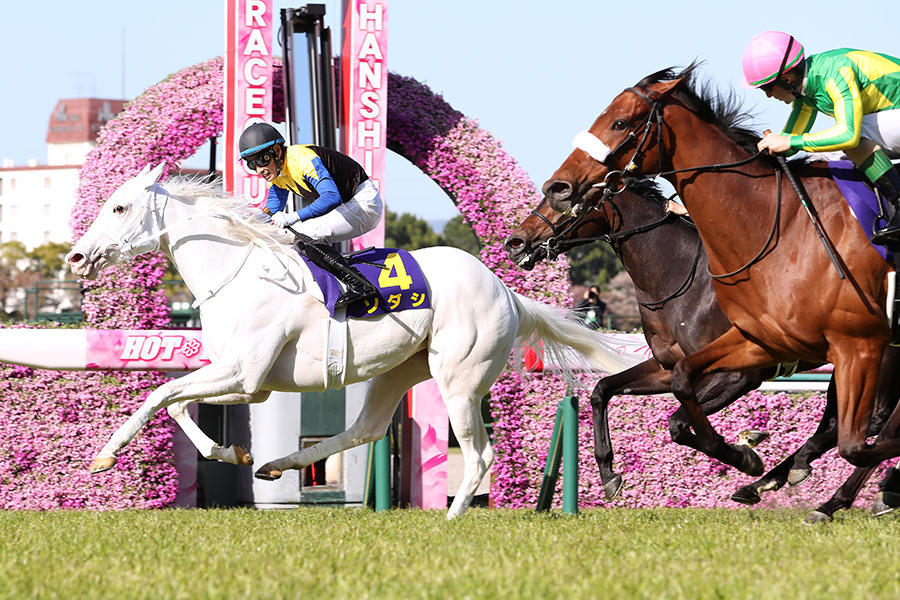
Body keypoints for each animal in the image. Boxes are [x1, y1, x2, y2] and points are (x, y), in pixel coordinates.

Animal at [65, 163, 640, 516]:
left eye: (118, 208)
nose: (75, 257)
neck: (239, 271)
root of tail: (506, 291)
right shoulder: (243, 378)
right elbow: (177, 404)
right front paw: (233, 453)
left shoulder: (245, 375)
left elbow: (161, 394)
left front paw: (104, 456)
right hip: (399, 370)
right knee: (365, 429)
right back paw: (276, 465)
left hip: (458, 381)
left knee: (479, 455)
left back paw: (451, 519)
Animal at [502, 177, 900, 516]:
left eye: (566, 197)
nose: (516, 241)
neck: (679, 280)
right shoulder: (665, 368)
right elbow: (602, 390)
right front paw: (609, 474)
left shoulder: (740, 375)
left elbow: (678, 423)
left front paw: (746, 455)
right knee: (848, 425)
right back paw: (785, 484)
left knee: (867, 425)